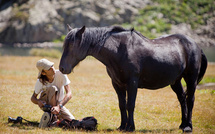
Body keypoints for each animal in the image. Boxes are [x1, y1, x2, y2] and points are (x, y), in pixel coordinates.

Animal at [58, 25, 207, 132]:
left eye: (72, 45)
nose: (62, 69)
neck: (120, 51)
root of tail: (196, 46)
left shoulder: (132, 83)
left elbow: (130, 104)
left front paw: (131, 127)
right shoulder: (117, 84)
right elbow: (122, 105)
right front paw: (122, 126)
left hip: (191, 78)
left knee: (190, 100)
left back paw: (188, 126)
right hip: (175, 81)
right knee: (182, 99)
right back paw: (182, 124)